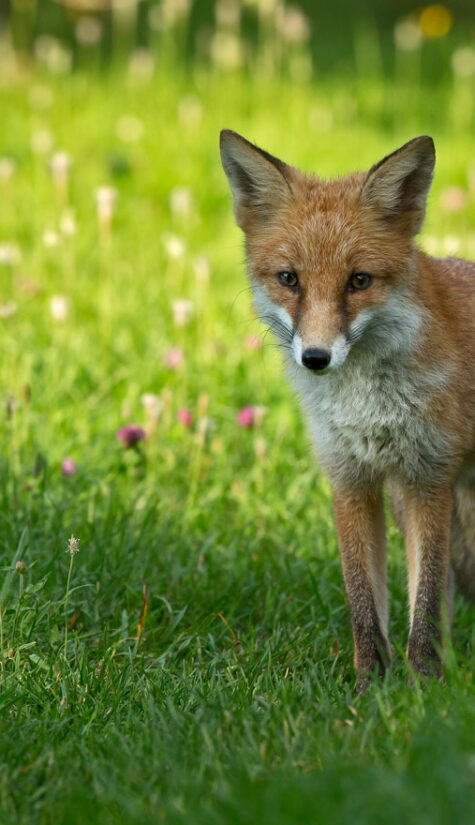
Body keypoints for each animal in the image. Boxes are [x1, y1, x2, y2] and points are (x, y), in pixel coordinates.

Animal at [220, 129, 475, 692]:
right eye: (289, 279)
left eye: (359, 280)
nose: (316, 357)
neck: (367, 404)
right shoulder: (350, 478)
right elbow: (365, 606)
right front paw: (369, 690)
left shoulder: (429, 477)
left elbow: (423, 606)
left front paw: (424, 690)